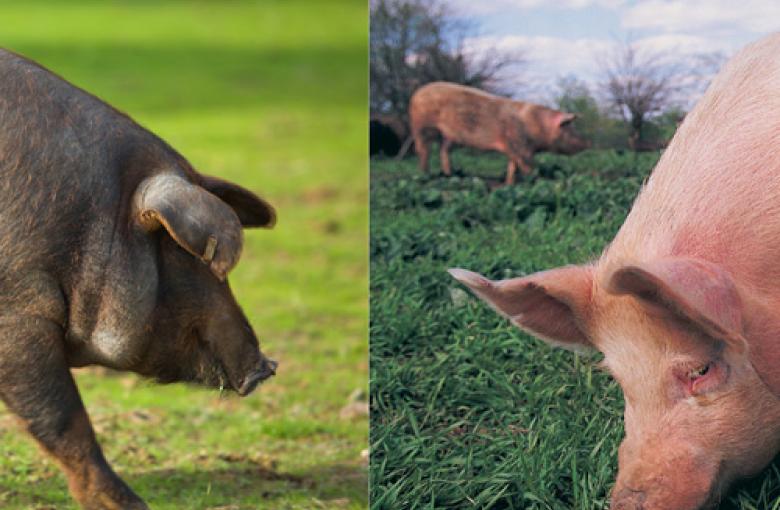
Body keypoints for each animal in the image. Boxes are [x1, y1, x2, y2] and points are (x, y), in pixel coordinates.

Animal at [409, 81, 589, 184]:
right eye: (569, 128)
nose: (588, 142)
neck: (536, 124)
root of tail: (415, 94)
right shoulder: (520, 145)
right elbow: (527, 167)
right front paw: (538, 181)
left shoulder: (514, 148)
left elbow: (512, 167)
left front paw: (508, 184)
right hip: (422, 127)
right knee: (423, 150)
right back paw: (425, 176)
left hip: (448, 137)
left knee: (443, 151)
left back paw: (449, 175)